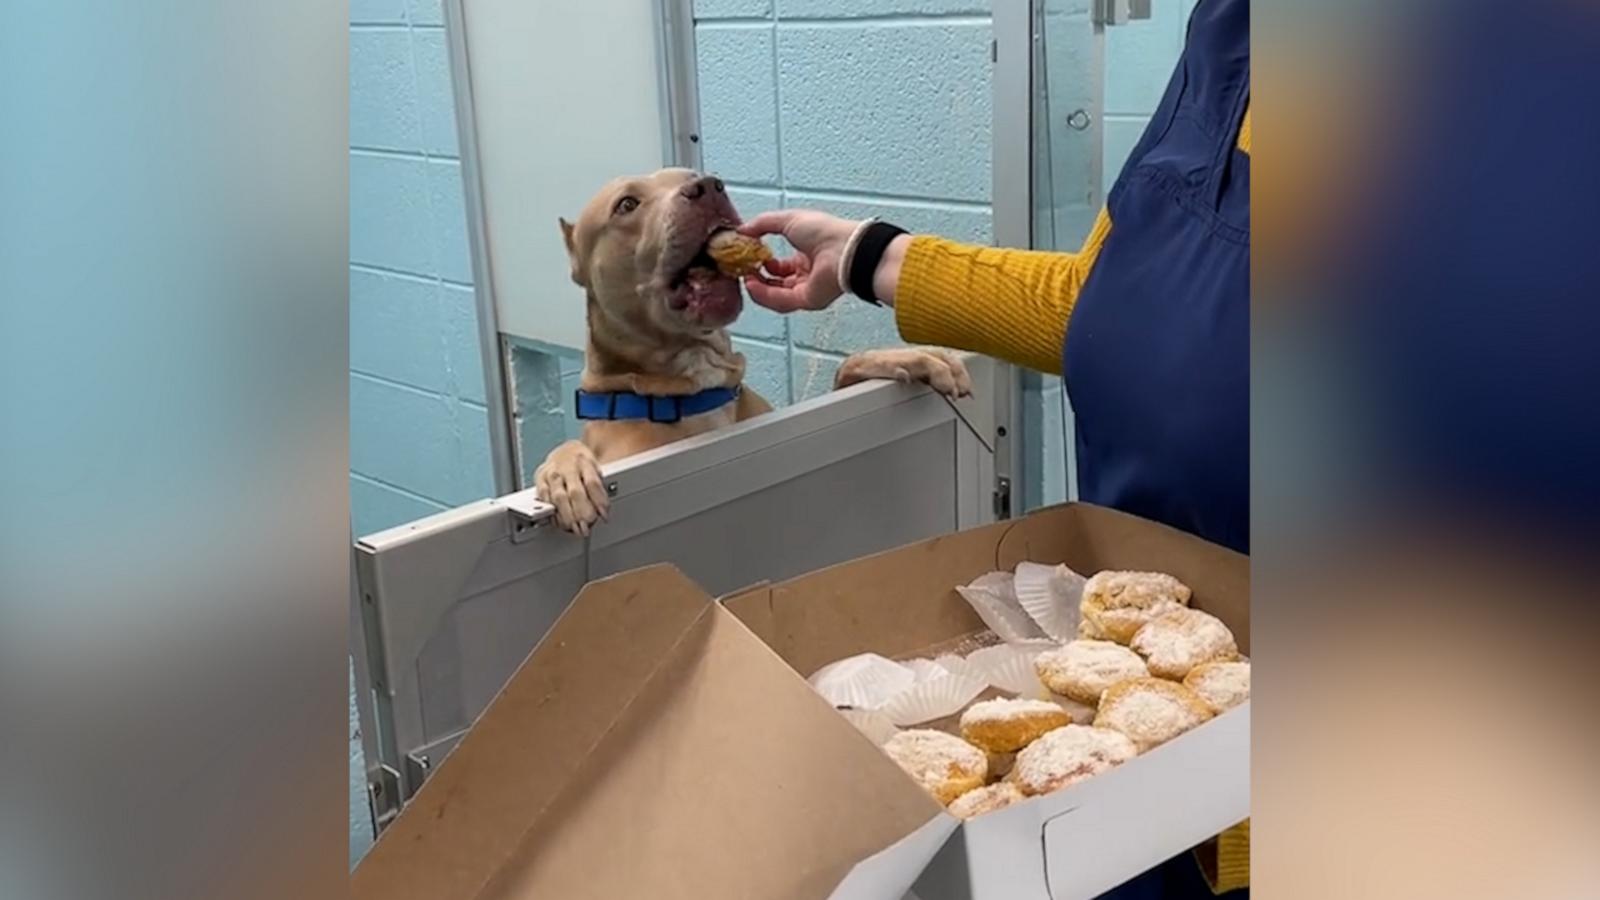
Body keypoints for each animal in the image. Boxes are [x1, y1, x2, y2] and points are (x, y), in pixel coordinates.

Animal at [534, 168, 972, 528]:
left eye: (688, 174)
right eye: (627, 204)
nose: (708, 185)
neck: (696, 380)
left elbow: (846, 368)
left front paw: (910, 358)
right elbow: (567, 449)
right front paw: (565, 471)